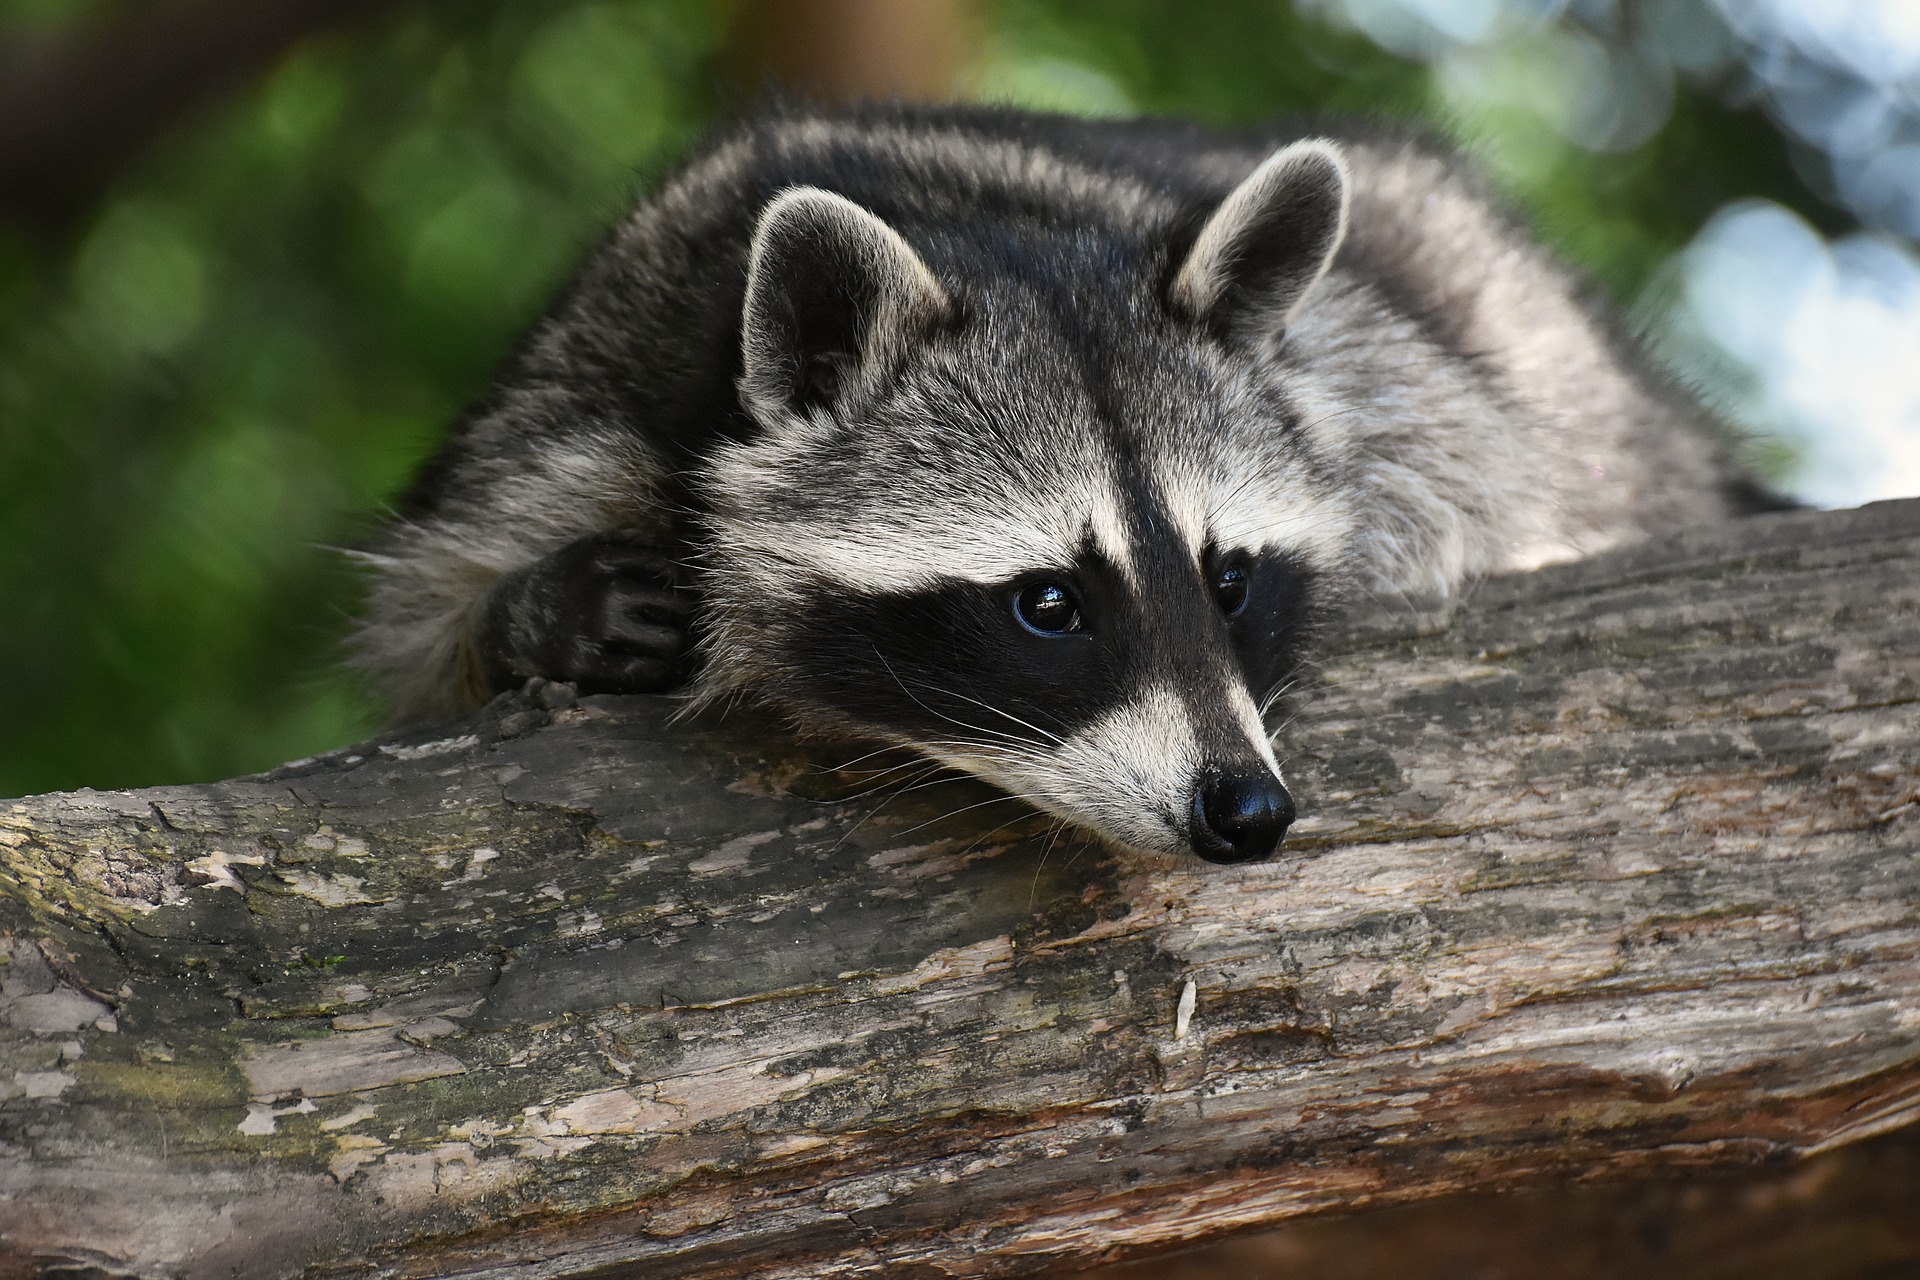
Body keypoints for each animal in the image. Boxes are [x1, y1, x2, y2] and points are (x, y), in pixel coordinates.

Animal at [357, 104, 1763, 865]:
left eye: (1230, 578)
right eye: (1048, 603)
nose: (1247, 810)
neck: (971, 226)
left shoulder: (1399, 383)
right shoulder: (576, 392)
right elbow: (427, 617)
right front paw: (536, 612)